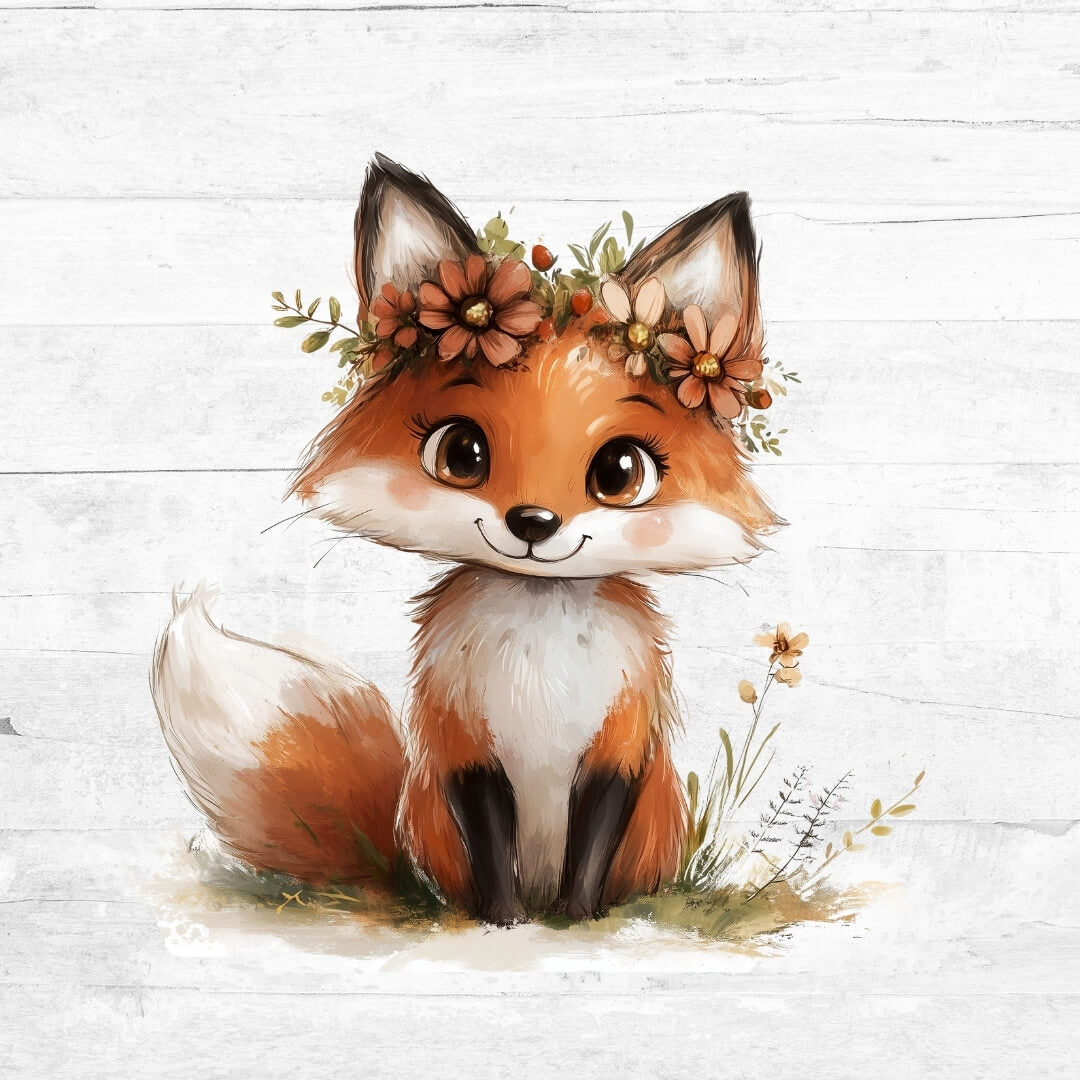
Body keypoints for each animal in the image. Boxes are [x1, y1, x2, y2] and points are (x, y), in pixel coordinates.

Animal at [151, 155, 778, 925]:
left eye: (620, 471)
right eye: (462, 453)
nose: (533, 523)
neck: (540, 650)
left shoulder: (618, 750)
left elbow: (590, 854)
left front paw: (577, 922)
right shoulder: (464, 750)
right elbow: (490, 851)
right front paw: (502, 925)